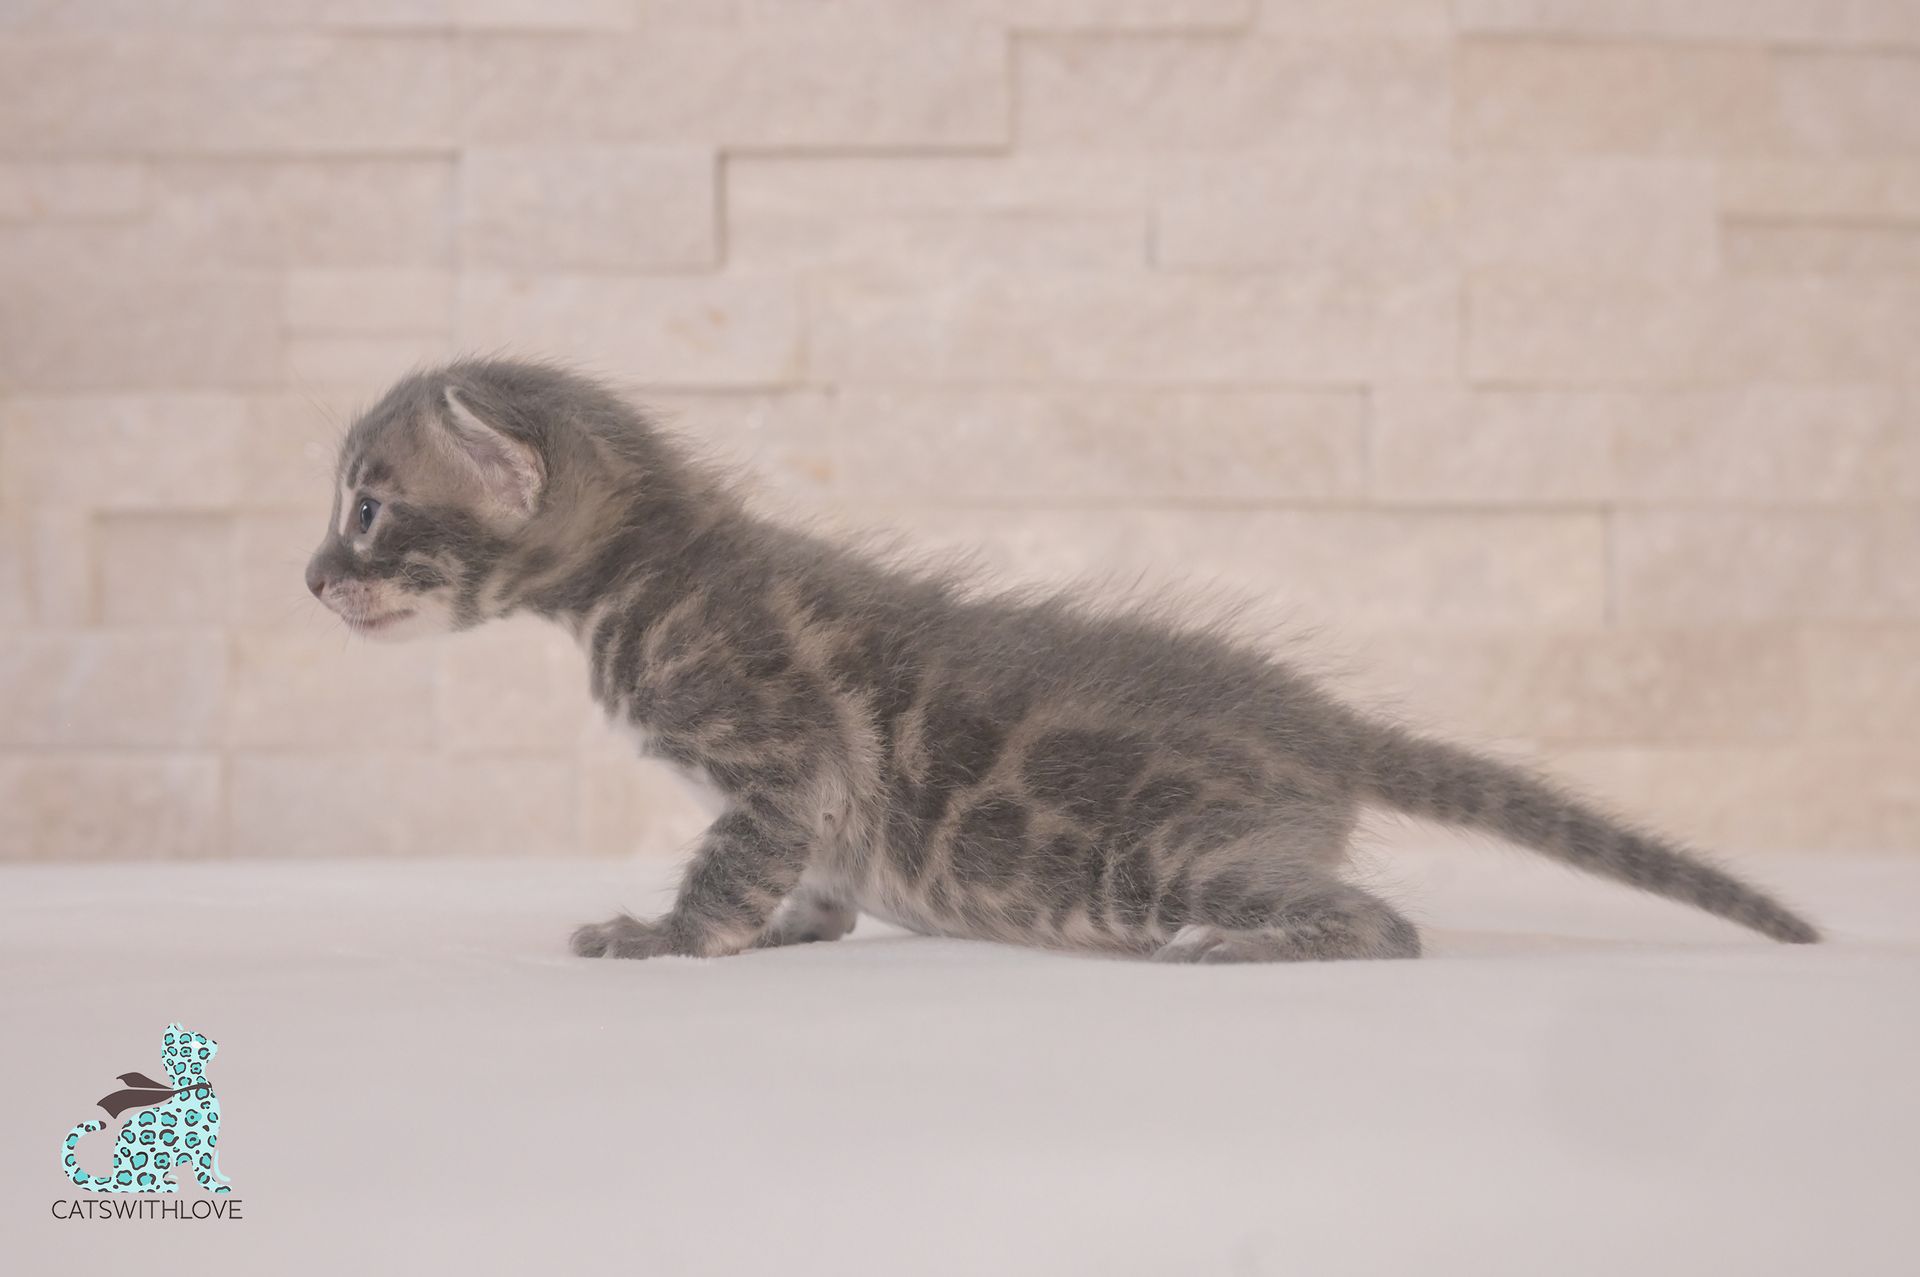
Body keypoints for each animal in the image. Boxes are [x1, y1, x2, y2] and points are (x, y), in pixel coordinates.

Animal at [307, 355, 1820, 956]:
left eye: (367, 508)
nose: (312, 577)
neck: (649, 568)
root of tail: (1329, 726)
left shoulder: (782, 749)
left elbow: (728, 860)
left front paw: (664, 937)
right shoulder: (812, 798)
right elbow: (803, 875)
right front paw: (799, 925)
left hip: (1169, 852)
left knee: (1380, 924)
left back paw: (1236, 949)